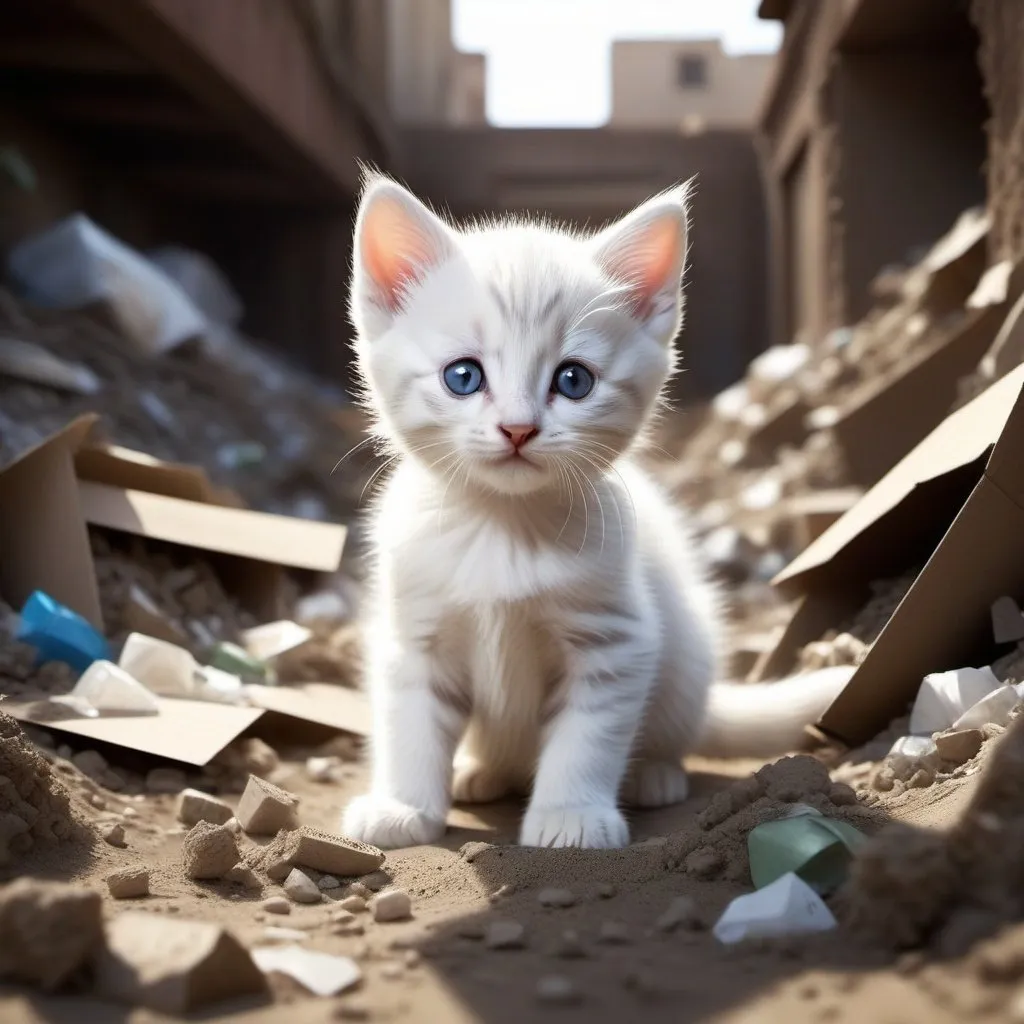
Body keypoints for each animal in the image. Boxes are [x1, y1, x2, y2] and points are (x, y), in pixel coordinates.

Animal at [339, 174, 851, 847]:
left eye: (573, 380)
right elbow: (411, 725)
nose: (518, 428)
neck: (504, 527)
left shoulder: (617, 641)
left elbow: (587, 737)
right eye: (463, 376)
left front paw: (572, 814)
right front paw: (401, 807)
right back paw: (484, 770)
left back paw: (653, 775)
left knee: (669, 732)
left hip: (686, 653)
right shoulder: (414, 636)